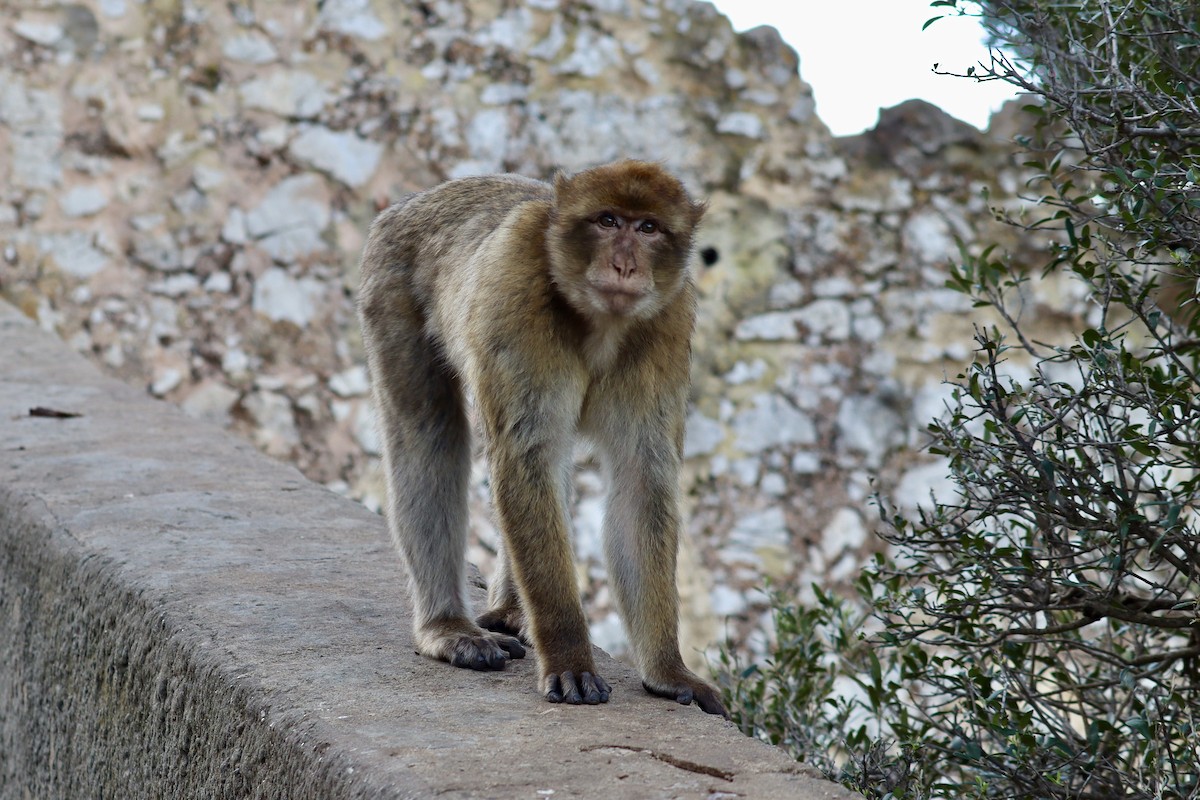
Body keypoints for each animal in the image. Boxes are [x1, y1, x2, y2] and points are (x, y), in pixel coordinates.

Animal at [357, 160, 727, 717]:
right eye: (608, 220)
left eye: (648, 228)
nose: (624, 265)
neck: (599, 323)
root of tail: (413, 201)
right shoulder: (515, 292)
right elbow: (524, 458)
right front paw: (570, 657)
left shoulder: (669, 320)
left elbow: (641, 481)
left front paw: (668, 671)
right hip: (390, 284)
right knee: (427, 431)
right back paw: (449, 628)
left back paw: (513, 611)